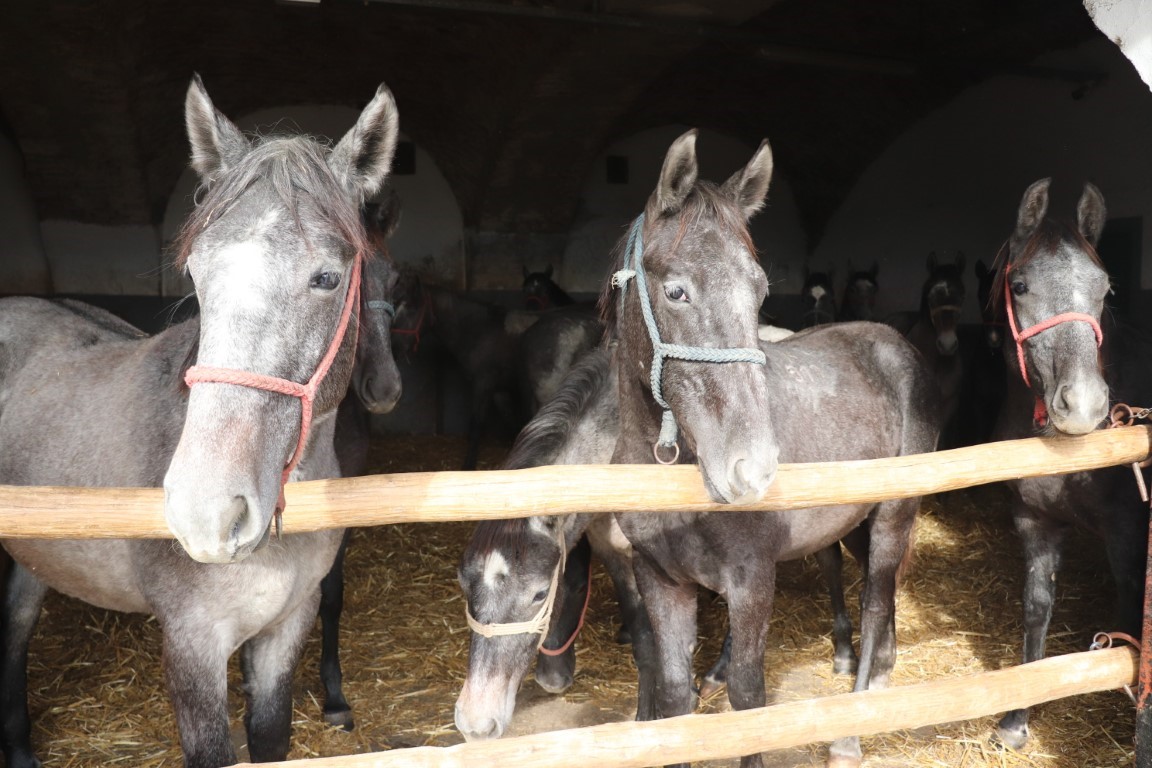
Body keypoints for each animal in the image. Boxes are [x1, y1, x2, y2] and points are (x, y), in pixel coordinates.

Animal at [990, 178, 1152, 750]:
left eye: (1105, 290)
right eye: (1020, 286)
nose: (1083, 406)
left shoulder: (1128, 532)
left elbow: (1129, 607)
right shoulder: (1034, 522)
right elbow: (1037, 606)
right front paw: (1016, 719)